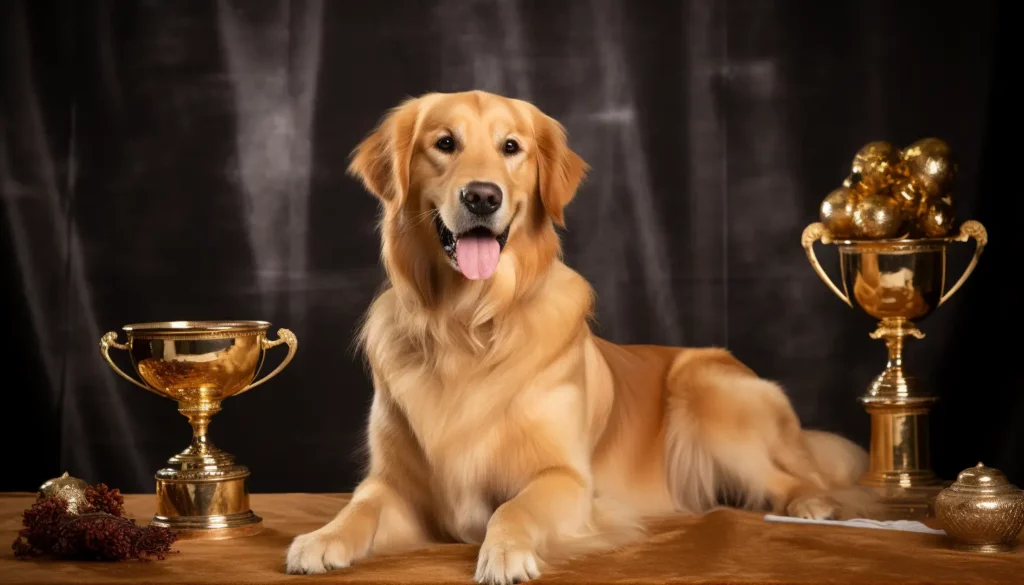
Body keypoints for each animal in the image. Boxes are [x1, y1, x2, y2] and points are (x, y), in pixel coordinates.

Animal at [284, 89, 868, 581]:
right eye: (445, 143)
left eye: (511, 147)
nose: (481, 197)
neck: (468, 325)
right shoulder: (396, 485)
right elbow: (360, 505)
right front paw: (321, 537)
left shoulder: (565, 478)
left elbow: (513, 507)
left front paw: (504, 552)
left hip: (708, 390)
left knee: (796, 477)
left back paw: (812, 505)